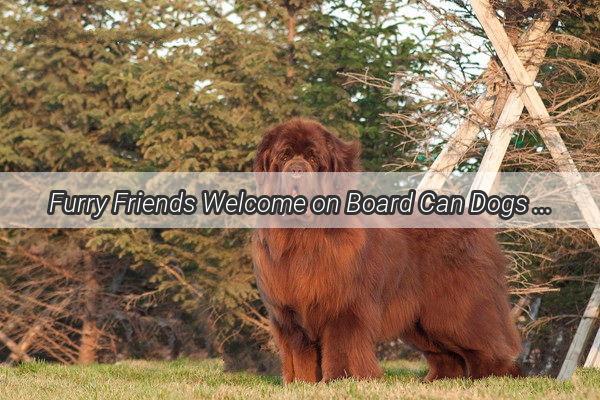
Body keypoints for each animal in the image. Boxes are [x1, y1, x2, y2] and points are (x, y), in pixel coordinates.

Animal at [251, 118, 524, 382]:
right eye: (284, 156)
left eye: (313, 158)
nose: (296, 170)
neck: (303, 235)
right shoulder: (289, 315)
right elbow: (299, 356)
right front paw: (301, 384)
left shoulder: (345, 308)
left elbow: (342, 348)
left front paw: (341, 380)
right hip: (420, 321)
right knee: (445, 354)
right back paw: (437, 381)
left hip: (455, 309)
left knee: (485, 342)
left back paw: (491, 377)